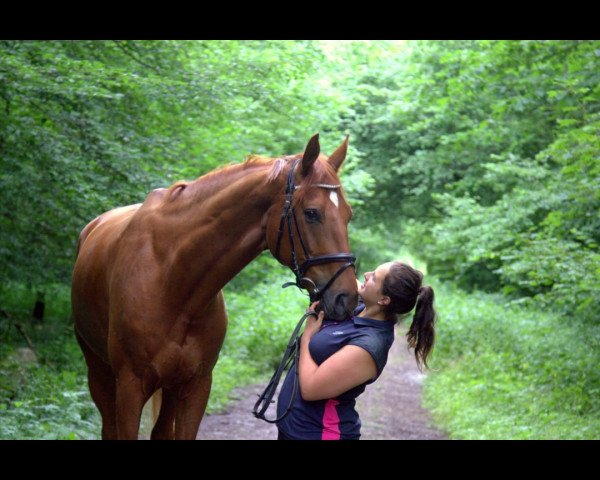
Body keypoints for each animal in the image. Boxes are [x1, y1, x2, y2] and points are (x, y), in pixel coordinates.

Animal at [72, 134, 358, 438]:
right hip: (99, 372)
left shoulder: (197, 385)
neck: (172, 279)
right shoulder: (130, 387)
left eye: (348, 214)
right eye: (312, 213)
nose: (347, 298)